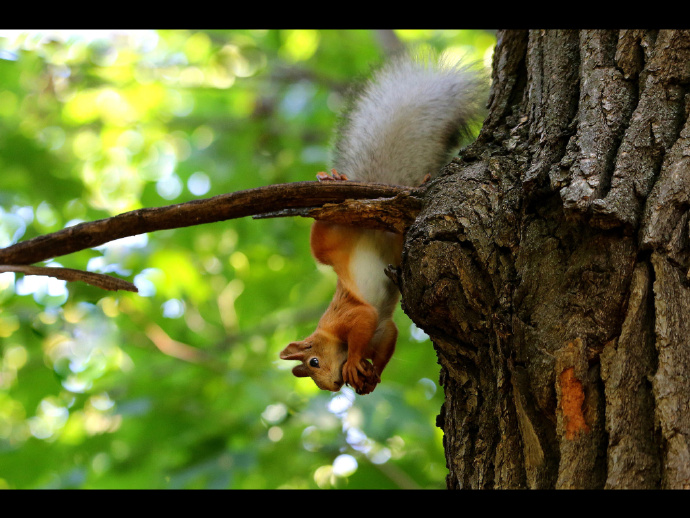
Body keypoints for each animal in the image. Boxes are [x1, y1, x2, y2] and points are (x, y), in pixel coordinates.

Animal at [276, 52, 482, 396]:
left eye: (314, 362)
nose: (334, 386)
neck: (330, 336)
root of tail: (368, 226)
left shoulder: (352, 316)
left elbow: (364, 319)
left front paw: (353, 363)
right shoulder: (383, 331)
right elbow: (388, 339)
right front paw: (369, 377)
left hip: (332, 243)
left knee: (320, 236)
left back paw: (332, 181)